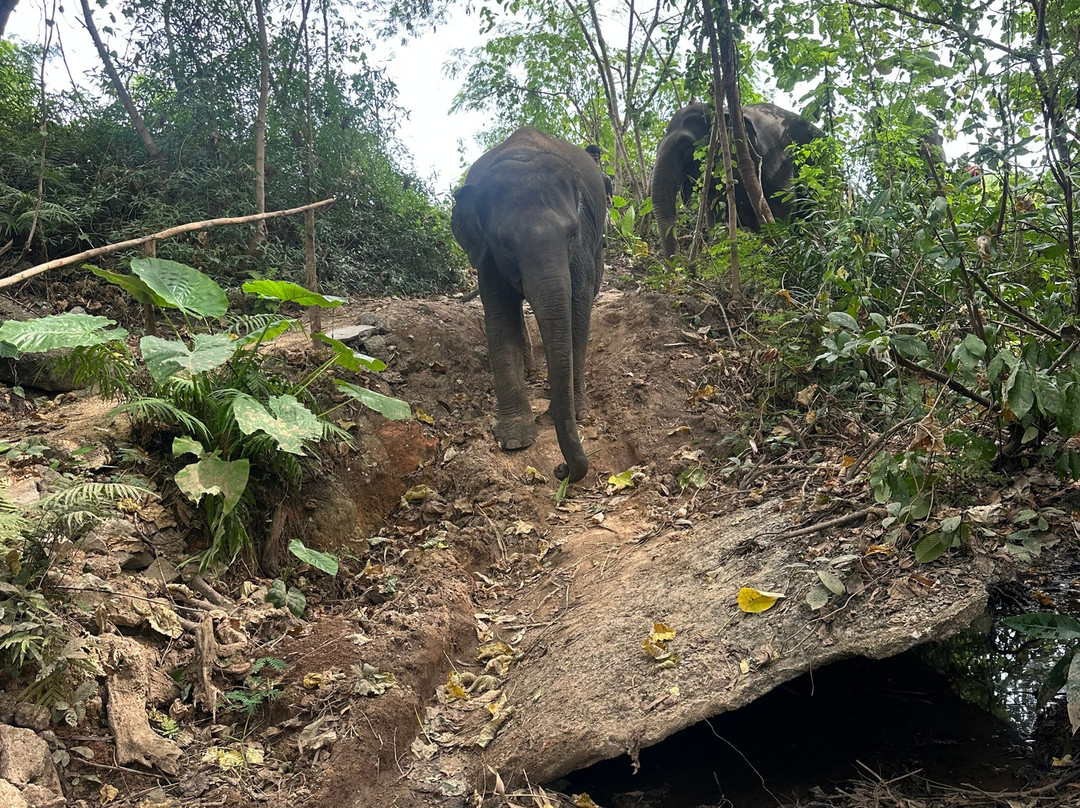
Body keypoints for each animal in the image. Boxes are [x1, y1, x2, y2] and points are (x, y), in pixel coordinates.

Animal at [452, 127, 607, 483]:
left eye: (571, 234)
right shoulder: (486, 256)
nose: (561, 469)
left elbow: (578, 306)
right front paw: (514, 440)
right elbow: (499, 317)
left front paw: (579, 412)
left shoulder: (583, 241)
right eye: (506, 244)